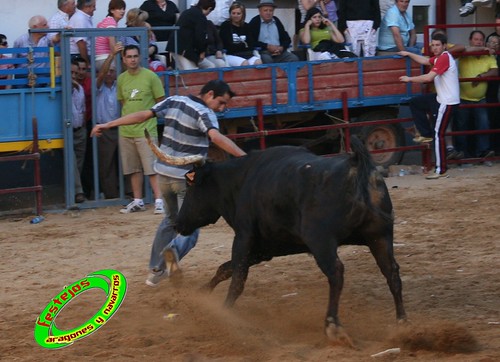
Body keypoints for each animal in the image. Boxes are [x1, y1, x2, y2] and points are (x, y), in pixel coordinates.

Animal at [148, 135, 406, 342]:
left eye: (190, 187)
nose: (178, 223)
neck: (241, 180)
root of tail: (356, 164)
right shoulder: (265, 249)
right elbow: (225, 269)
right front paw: (201, 294)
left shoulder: (244, 237)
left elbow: (237, 279)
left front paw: (224, 313)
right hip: (380, 237)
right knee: (392, 273)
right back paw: (402, 325)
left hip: (322, 242)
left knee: (336, 273)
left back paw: (333, 325)